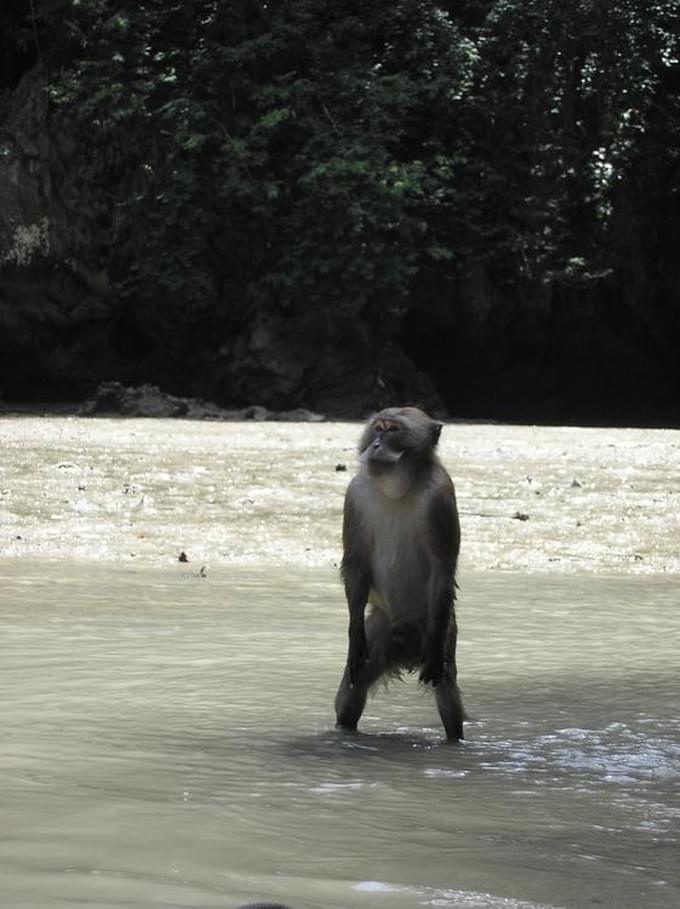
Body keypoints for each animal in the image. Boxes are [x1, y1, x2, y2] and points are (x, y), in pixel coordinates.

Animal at [332, 408, 464, 740]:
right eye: (377, 429)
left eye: (393, 431)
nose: (376, 445)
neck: (397, 486)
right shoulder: (355, 494)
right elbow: (355, 563)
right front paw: (353, 638)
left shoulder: (440, 495)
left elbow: (443, 566)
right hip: (381, 630)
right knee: (351, 692)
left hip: (440, 626)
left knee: (447, 689)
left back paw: (455, 739)